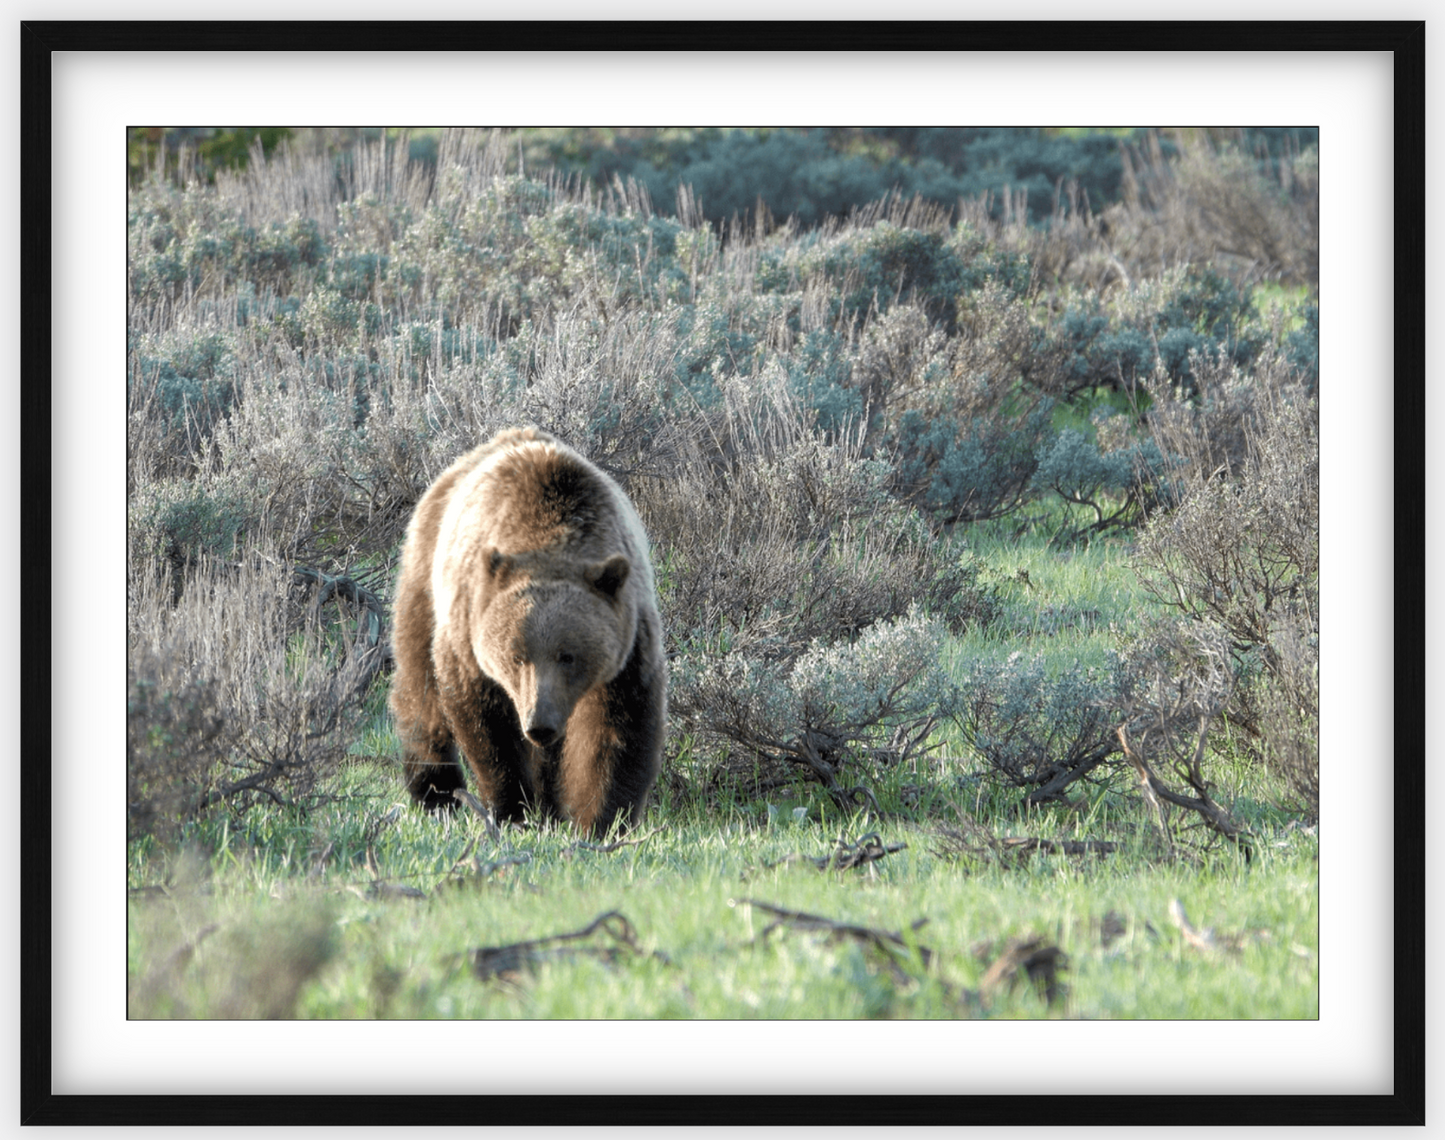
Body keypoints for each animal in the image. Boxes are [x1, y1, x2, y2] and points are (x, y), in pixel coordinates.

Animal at [393, 427, 667, 838]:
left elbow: (618, 728)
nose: (539, 724)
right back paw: (435, 790)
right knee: (419, 682)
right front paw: (510, 809)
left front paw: (602, 821)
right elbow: (490, 727)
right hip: (425, 576)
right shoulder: (472, 630)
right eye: (516, 656)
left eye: (568, 655)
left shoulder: (628, 640)